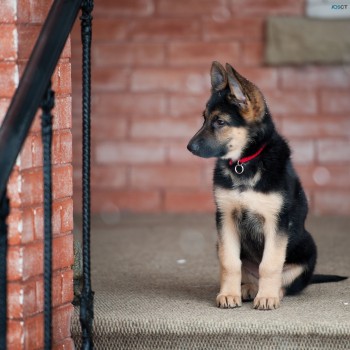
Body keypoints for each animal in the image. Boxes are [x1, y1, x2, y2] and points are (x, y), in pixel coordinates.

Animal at [187, 61, 346, 310]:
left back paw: (272, 292)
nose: (189, 147)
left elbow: (270, 264)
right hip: (221, 244)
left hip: (308, 247)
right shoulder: (225, 217)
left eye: (220, 122)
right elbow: (230, 262)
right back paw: (248, 288)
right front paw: (229, 294)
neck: (244, 163)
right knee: (249, 273)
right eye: (204, 118)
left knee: (286, 281)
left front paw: (268, 297)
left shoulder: (276, 221)